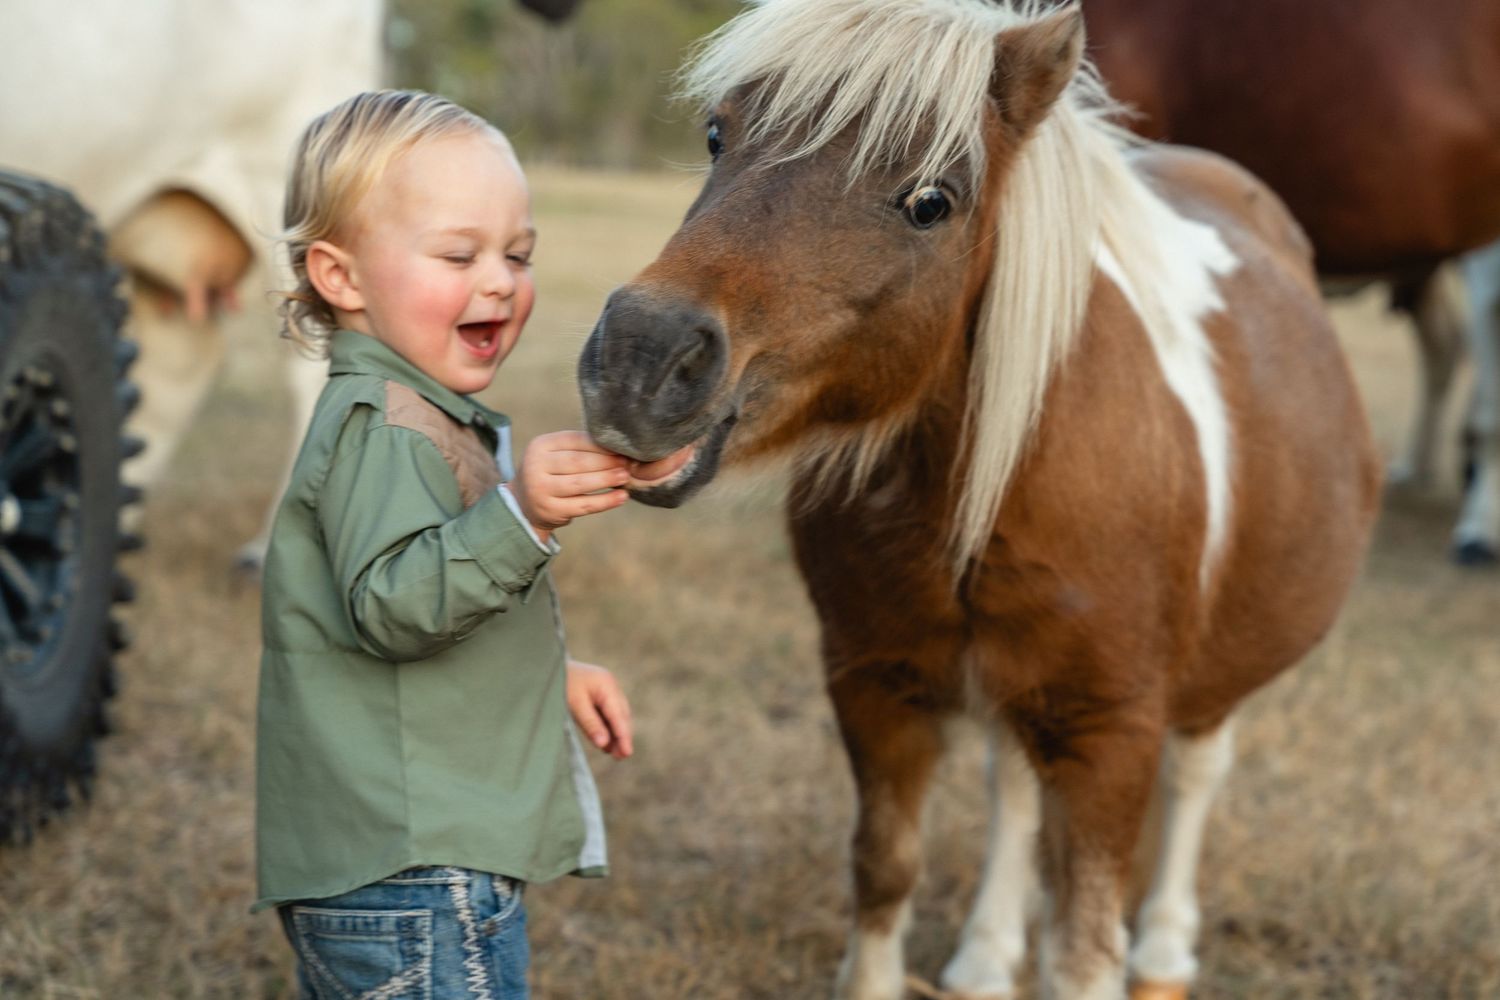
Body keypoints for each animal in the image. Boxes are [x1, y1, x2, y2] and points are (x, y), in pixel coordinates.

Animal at [577, 1, 1379, 997]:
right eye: (719, 135)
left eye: (931, 201)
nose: (641, 361)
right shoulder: (874, 683)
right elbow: (886, 870)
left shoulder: (1110, 728)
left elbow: (1083, 951)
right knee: (1015, 786)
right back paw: (985, 960)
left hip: (1212, 676)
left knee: (1196, 775)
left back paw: (1162, 953)